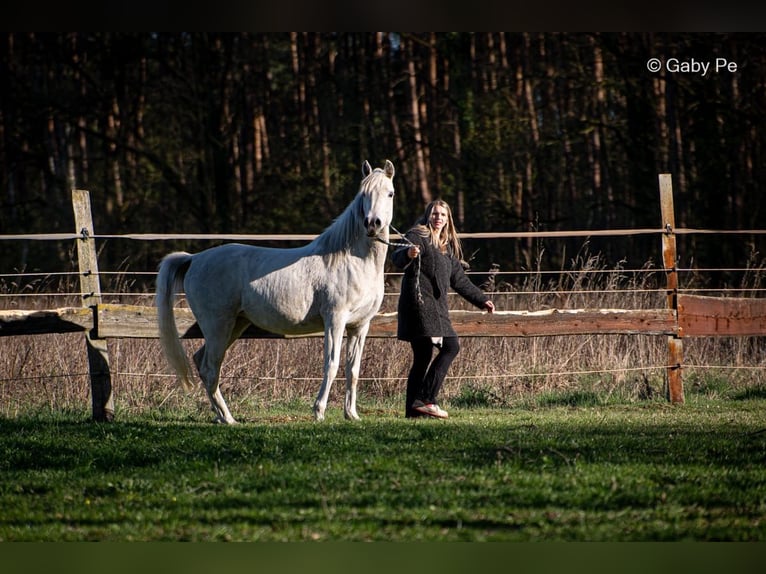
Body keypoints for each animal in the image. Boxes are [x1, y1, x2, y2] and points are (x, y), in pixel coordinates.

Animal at [155, 160, 396, 424]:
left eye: (390, 193)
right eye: (363, 194)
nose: (372, 224)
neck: (352, 260)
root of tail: (194, 258)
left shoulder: (359, 326)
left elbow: (352, 370)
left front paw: (351, 414)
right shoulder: (335, 319)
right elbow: (331, 365)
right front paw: (319, 412)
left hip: (234, 325)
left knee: (203, 362)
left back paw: (220, 416)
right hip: (218, 325)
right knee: (210, 368)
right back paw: (228, 418)